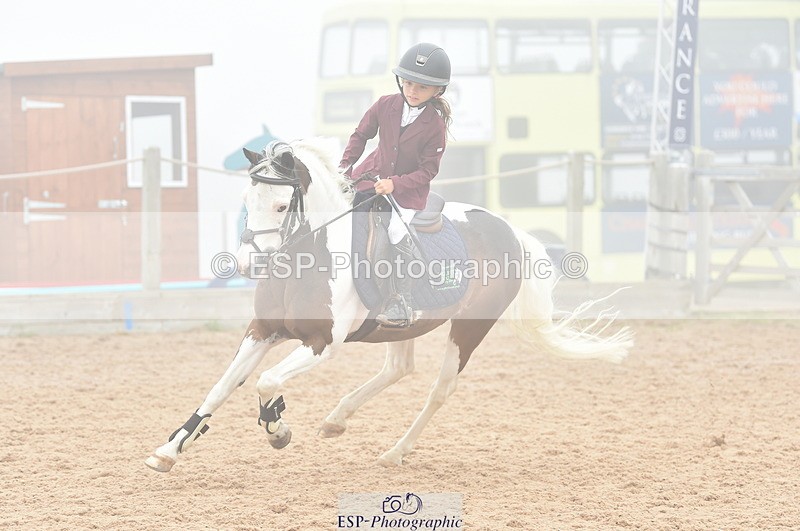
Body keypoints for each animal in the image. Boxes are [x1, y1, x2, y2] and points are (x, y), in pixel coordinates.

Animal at [145, 139, 633, 472]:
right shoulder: (263, 330)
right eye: (247, 201)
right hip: (403, 325)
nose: (248, 263)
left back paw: (394, 452)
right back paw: (337, 420)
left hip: (470, 328)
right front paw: (169, 450)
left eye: (283, 205)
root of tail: (509, 229)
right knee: (399, 369)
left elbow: (267, 381)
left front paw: (277, 429)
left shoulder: (322, 342)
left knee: (439, 389)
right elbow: (222, 386)